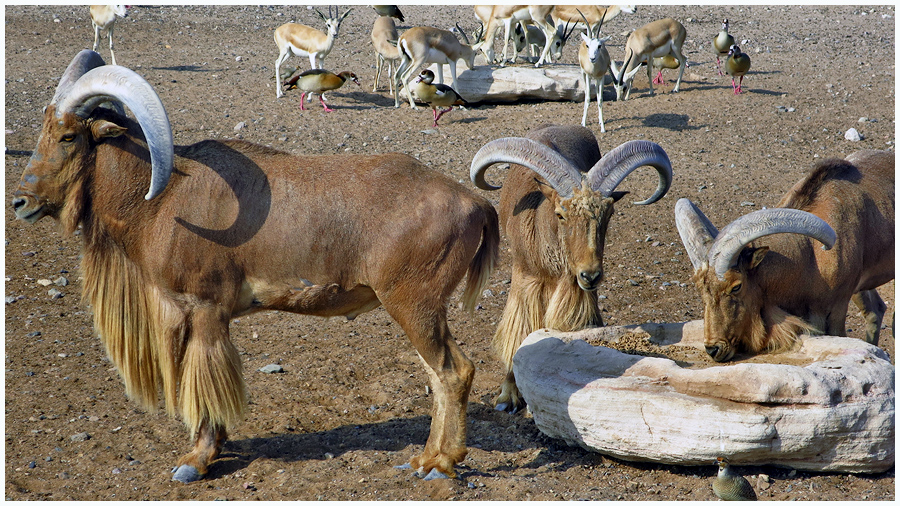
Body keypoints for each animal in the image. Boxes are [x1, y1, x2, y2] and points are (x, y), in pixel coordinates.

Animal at [10, 50, 500, 482]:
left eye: (68, 136)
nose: (21, 202)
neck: (160, 200)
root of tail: (474, 203)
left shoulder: (205, 308)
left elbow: (205, 379)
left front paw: (197, 460)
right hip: (418, 309)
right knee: (439, 374)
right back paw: (424, 458)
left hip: (415, 304)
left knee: (454, 373)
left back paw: (441, 463)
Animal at [468, 124, 672, 414]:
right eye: (560, 214)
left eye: (608, 215)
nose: (590, 275)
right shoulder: (524, 278)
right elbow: (518, 331)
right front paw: (508, 395)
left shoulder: (577, 291)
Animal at [676, 148, 892, 362]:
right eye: (701, 288)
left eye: (736, 286)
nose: (713, 349)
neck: (810, 260)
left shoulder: (837, 310)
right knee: (876, 309)